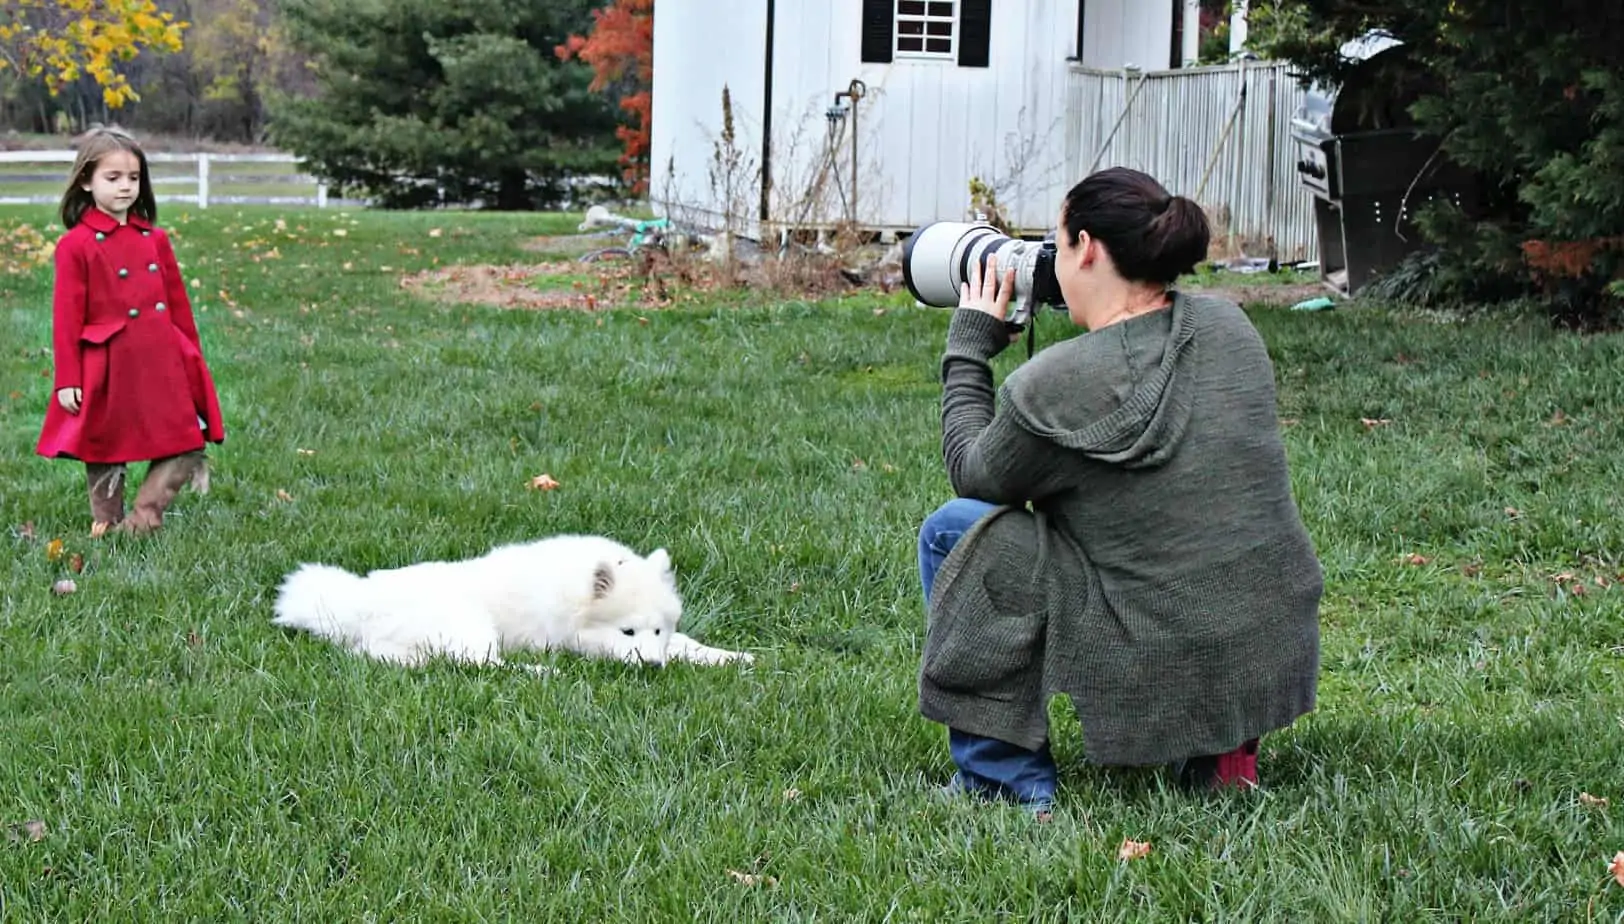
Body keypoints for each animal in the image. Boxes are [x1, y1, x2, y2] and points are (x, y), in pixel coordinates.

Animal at [271, 532, 753, 669]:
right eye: (627, 631)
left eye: (657, 629)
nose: (653, 667)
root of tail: (359, 599)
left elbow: (689, 645)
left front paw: (733, 656)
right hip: (473, 627)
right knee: (481, 665)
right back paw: (540, 671)